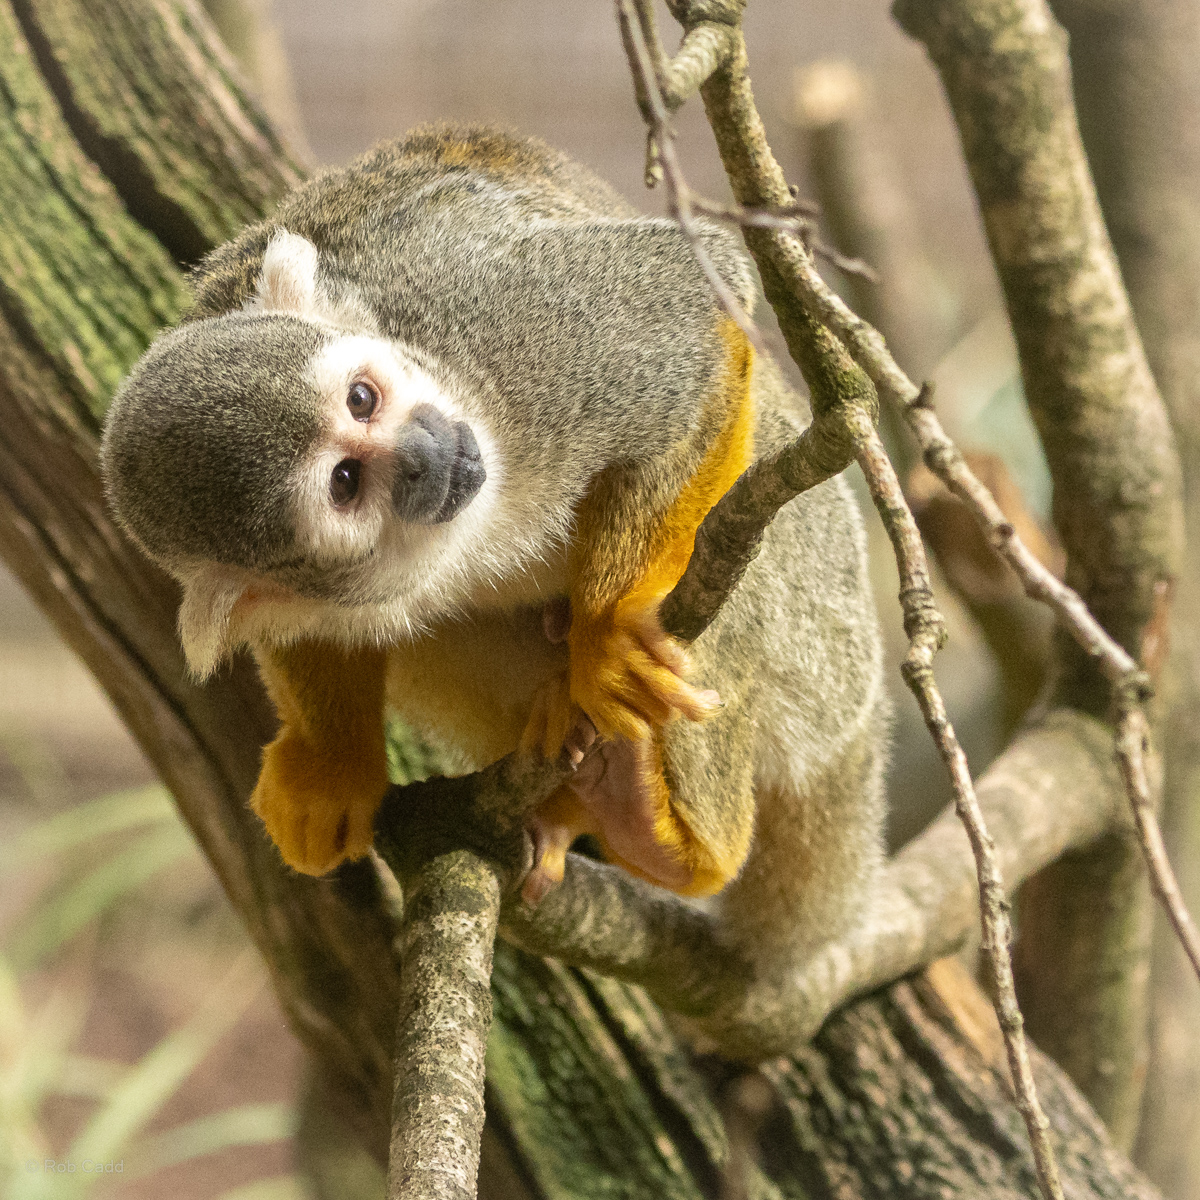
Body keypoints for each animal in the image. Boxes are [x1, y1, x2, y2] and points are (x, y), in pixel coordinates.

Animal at [101, 125, 889, 974]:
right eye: (345, 482)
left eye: (362, 397)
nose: (426, 452)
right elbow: (309, 627)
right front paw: (332, 765)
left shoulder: (503, 331)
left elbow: (699, 301)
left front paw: (610, 631)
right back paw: (598, 806)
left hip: (814, 613)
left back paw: (684, 841)